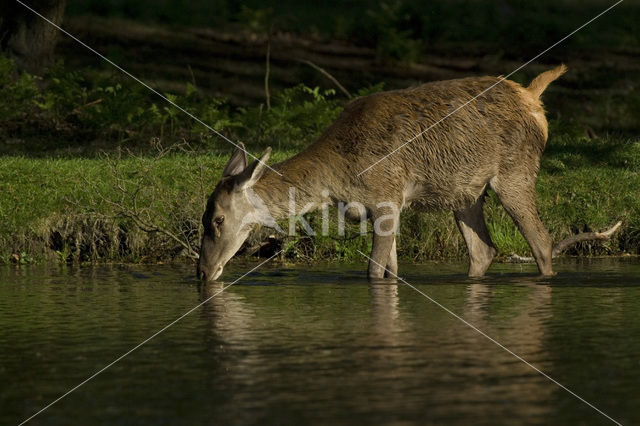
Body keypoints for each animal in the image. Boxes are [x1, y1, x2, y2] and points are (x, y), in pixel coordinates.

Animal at [199, 65, 620, 282]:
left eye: (217, 219)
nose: (202, 271)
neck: (338, 180)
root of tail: (533, 98)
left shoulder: (387, 197)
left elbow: (373, 270)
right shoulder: (383, 209)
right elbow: (392, 271)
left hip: (516, 172)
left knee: (542, 242)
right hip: (465, 193)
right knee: (484, 250)